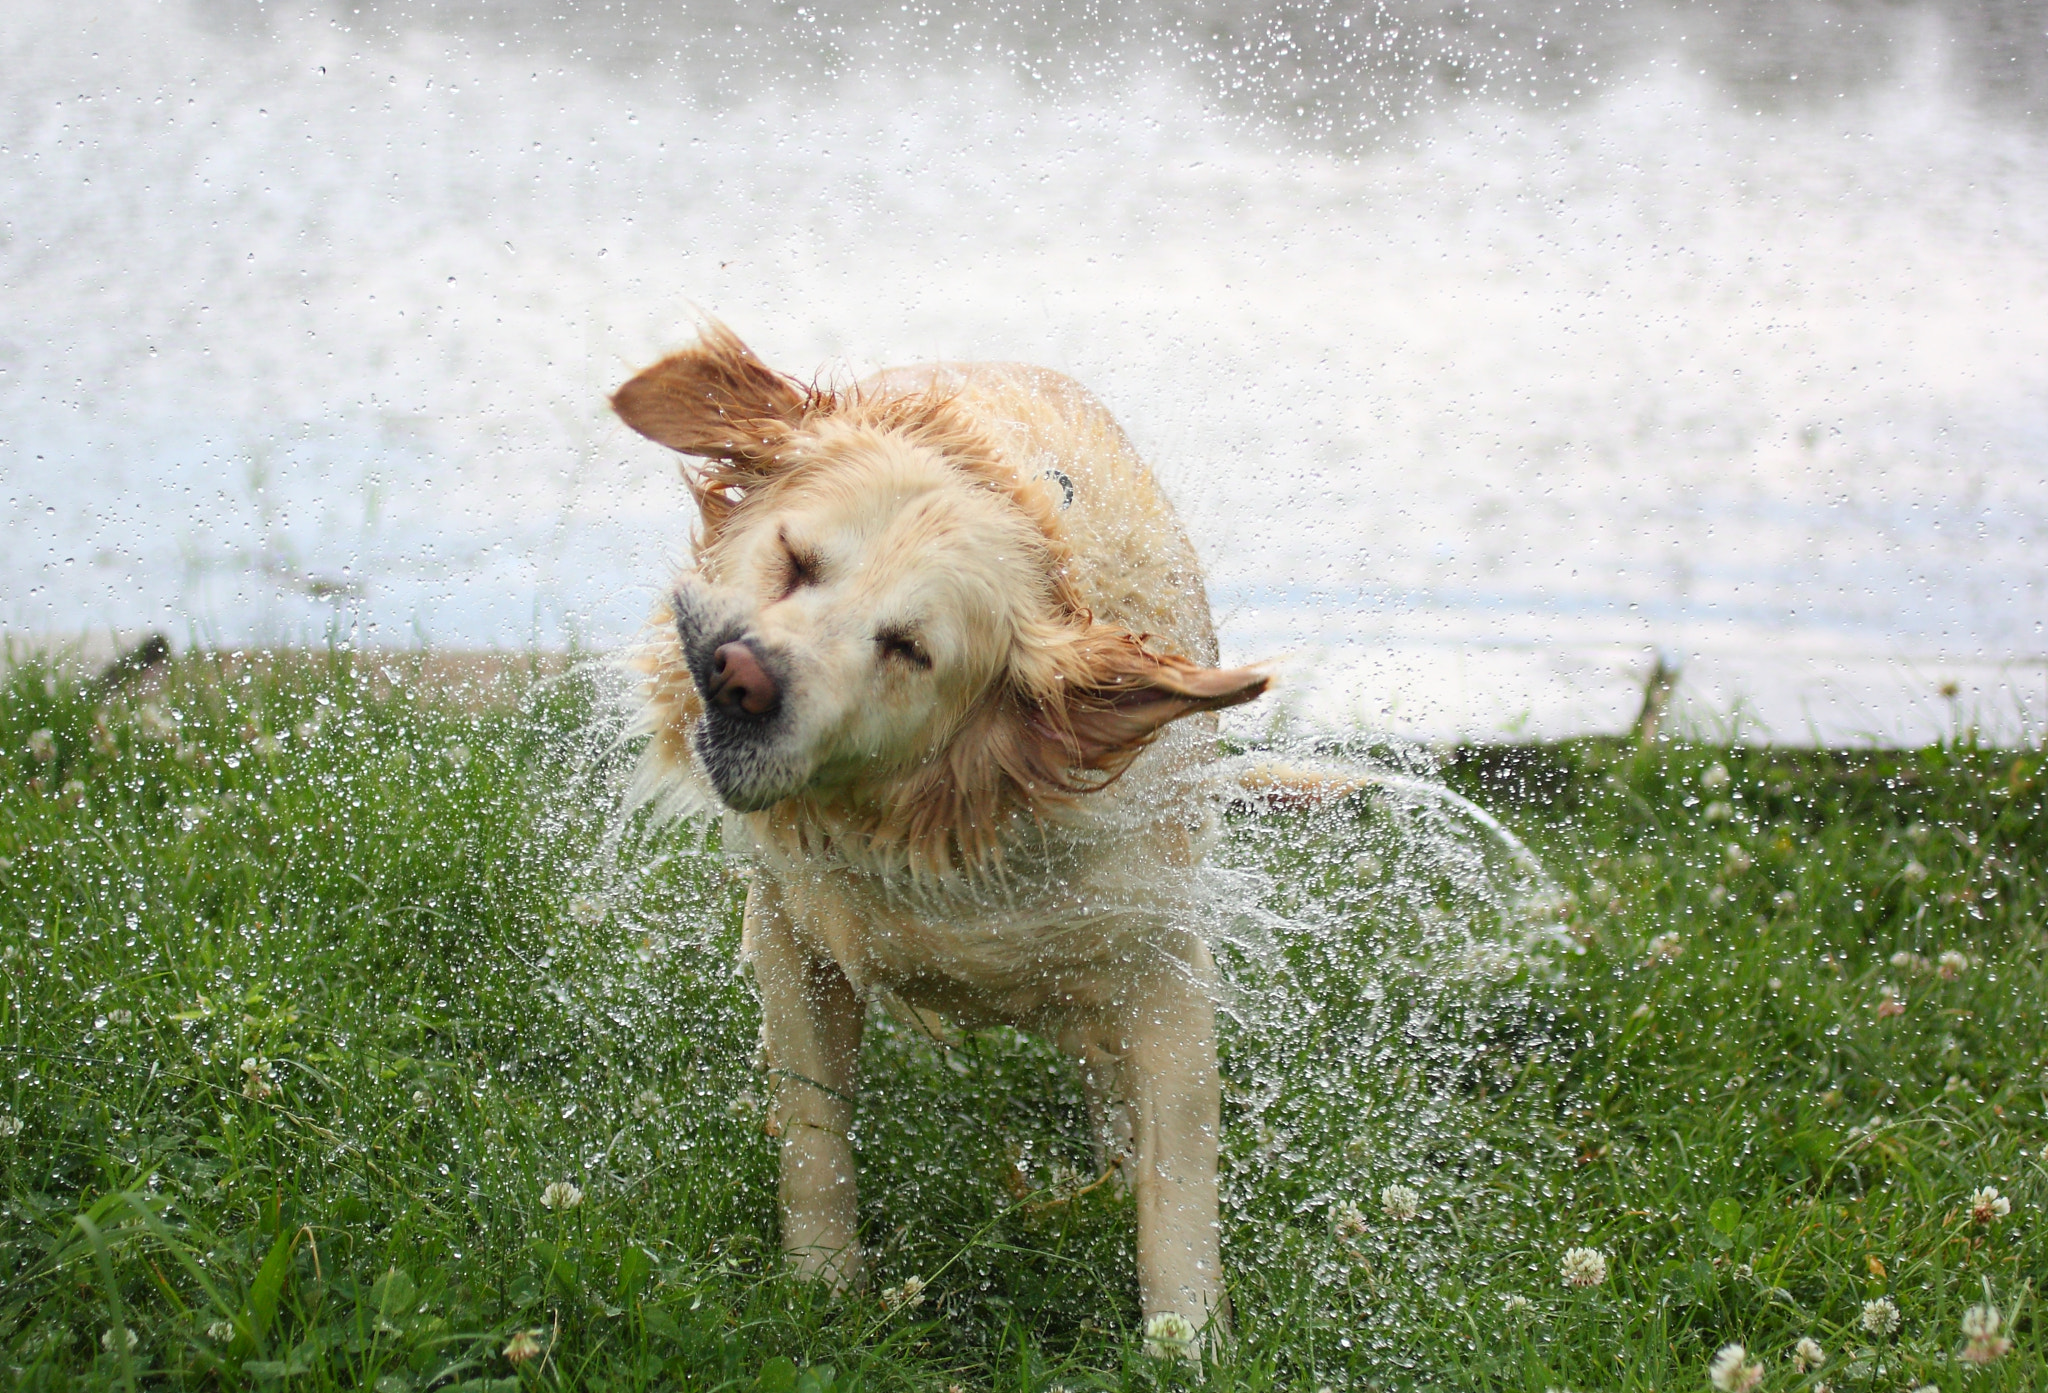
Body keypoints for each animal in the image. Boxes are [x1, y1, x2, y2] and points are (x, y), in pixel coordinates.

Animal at [614, 323, 1269, 1335]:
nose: (742, 675)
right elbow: (814, 1131)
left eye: (909, 649)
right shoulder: (797, 932)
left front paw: (1188, 1336)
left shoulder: (1159, 953)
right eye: (796, 560)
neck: (947, 823)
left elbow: (1180, 1160)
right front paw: (822, 1283)